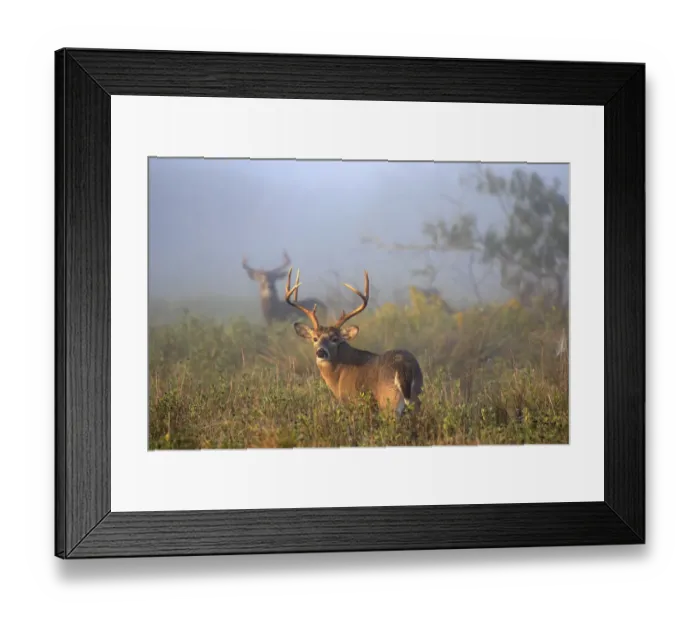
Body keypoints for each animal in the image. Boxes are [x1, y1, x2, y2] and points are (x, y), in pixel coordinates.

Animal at [284, 267, 424, 417]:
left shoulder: (352, 400)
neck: (339, 374)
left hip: (389, 401)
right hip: (416, 397)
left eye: (335, 338)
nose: (321, 352)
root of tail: (404, 367)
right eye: (315, 338)